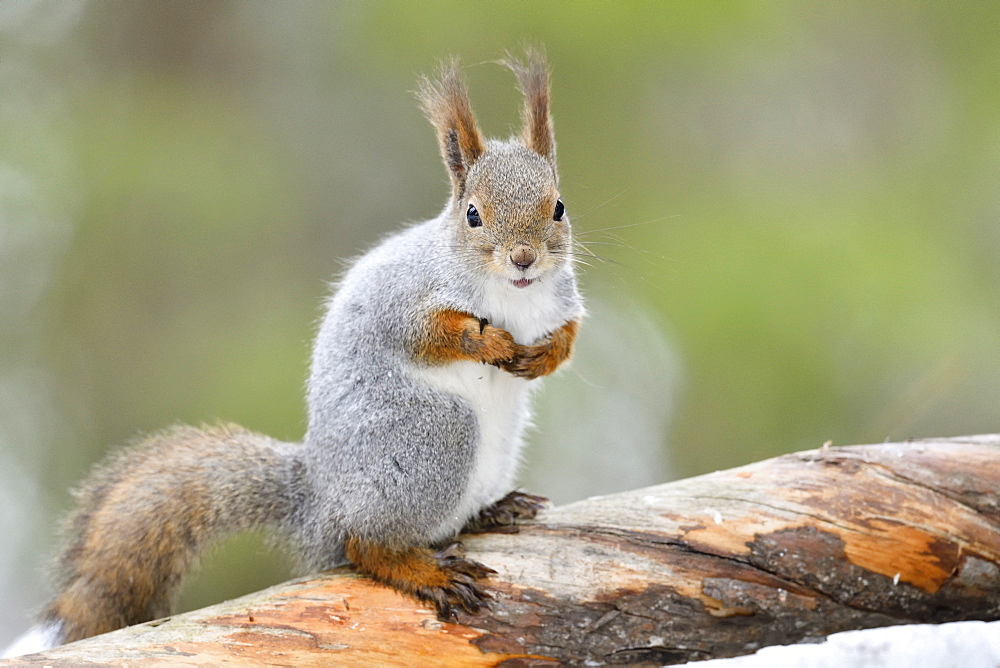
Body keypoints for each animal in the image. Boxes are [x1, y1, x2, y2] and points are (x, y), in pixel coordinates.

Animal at [3, 49, 584, 656]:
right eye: (472, 213)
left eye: (559, 207)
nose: (523, 258)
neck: (511, 294)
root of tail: (320, 503)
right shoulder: (404, 300)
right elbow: (428, 335)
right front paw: (487, 341)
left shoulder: (561, 299)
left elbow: (568, 333)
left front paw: (543, 356)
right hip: (429, 438)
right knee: (363, 545)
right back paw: (421, 569)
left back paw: (491, 510)